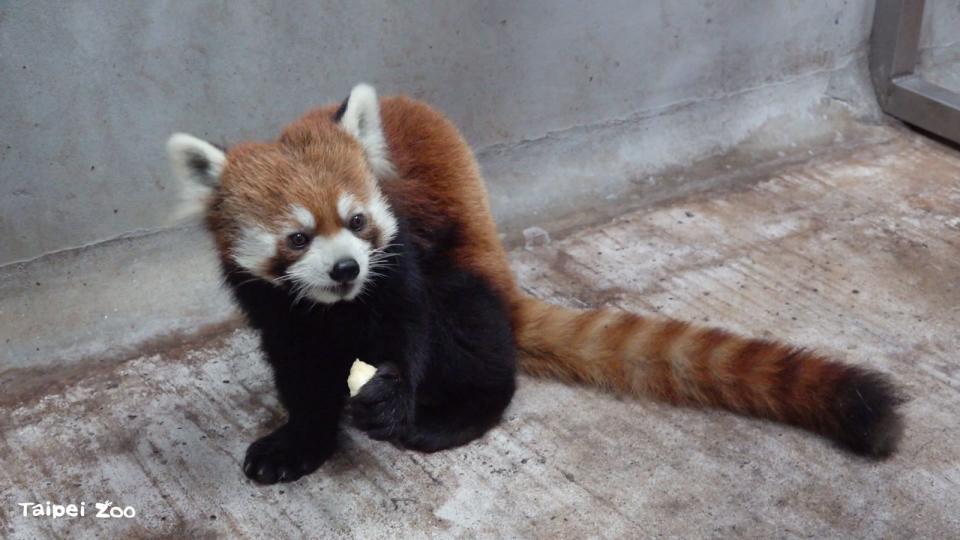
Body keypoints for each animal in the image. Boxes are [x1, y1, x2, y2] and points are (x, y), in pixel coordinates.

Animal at [167, 85, 900, 486]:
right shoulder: (277, 311)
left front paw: (395, 395)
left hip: (470, 265)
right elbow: (301, 375)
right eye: (297, 237)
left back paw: (451, 417)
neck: (336, 310)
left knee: (471, 327)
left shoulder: (400, 258)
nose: (346, 268)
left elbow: (412, 326)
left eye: (356, 221)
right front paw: (299, 442)